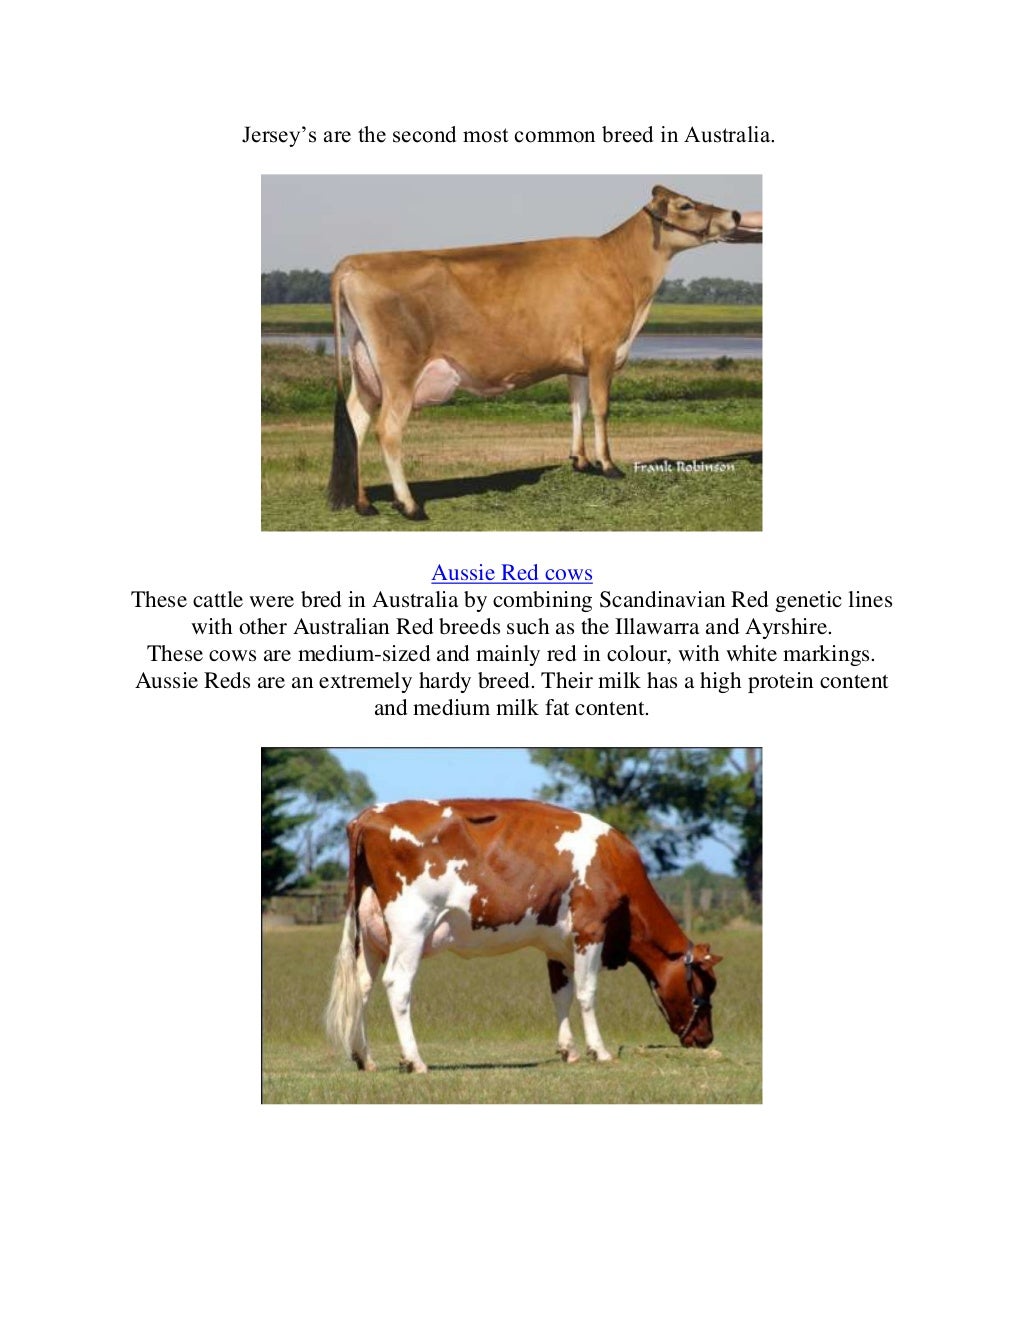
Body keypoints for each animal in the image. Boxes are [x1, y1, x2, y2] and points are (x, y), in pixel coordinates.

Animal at [325, 798, 723, 1073]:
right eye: (703, 987)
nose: (706, 1040)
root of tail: (370, 814)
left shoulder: (557, 943)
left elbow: (561, 995)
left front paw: (568, 1051)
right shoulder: (590, 929)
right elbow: (587, 992)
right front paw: (600, 1051)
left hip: (370, 933)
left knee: (362, 986)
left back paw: (365, 1058)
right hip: (411, 926)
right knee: (397, 984)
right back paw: (414, 1060)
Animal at [326, 184, 743, 521]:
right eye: (685, 204)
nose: (736, 214)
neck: (621, 269)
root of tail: (354, 261)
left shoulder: (577, 361)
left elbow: (578, 406)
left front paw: (580, 461)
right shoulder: (603, 350)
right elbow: (601, 408)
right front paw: (608, 465)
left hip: (365, 371)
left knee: (356, 423)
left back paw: (364, 503)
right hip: (400, 372)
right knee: (387, 430)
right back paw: (410, 506)